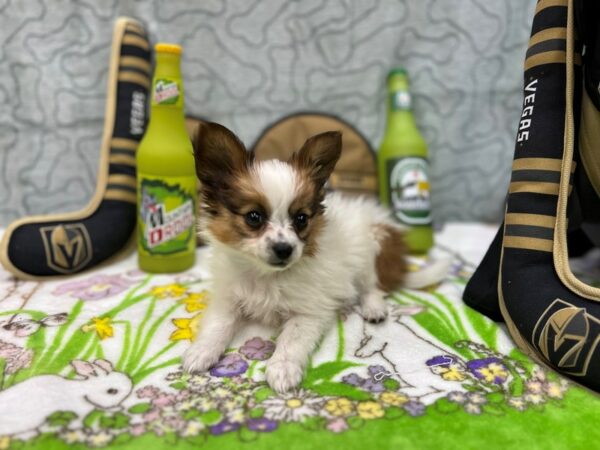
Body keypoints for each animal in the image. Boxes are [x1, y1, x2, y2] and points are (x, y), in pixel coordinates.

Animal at [183, 121, 446, 392]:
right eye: (254, 217)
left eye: (301, 219)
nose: (284, 249)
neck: (267, 276)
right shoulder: (228, 299)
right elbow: (218, 324)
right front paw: (201, 351)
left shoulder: (309, 311)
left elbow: (291, 340)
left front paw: (282, 368)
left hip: (371, 250)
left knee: (373, 287)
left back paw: (374, 308)